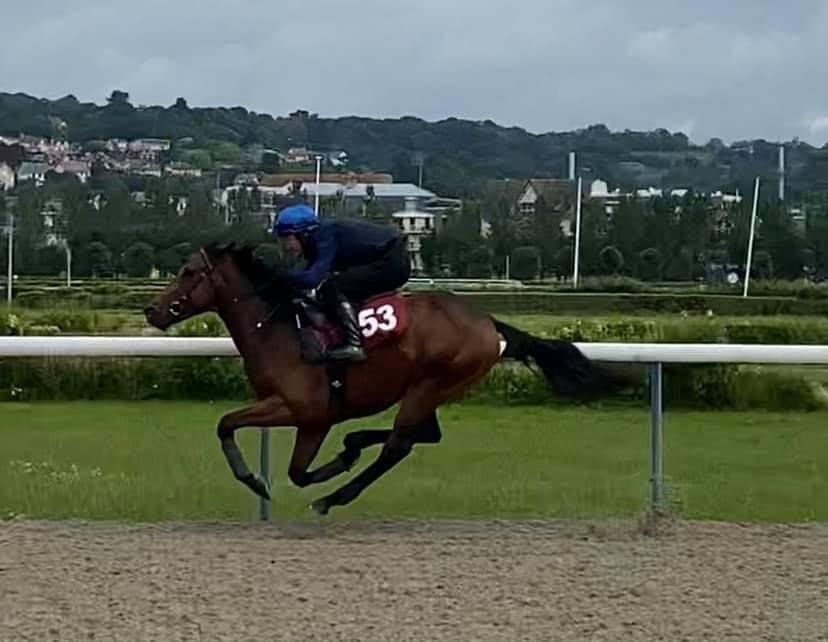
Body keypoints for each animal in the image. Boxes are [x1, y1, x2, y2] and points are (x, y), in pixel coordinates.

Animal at [144, 241, 632, 516]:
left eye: (189, 271)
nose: (152, 309)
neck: (279, 329)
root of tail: (489, 324)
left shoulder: (307, 412)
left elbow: (262, 447)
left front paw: (259, 478)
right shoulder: (290, 410)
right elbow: (245, 435)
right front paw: (333, 459)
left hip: (431, 384)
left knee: (400, 444)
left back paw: (334, 496)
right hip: (429, 389)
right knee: (422, 435)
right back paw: (354, 444)